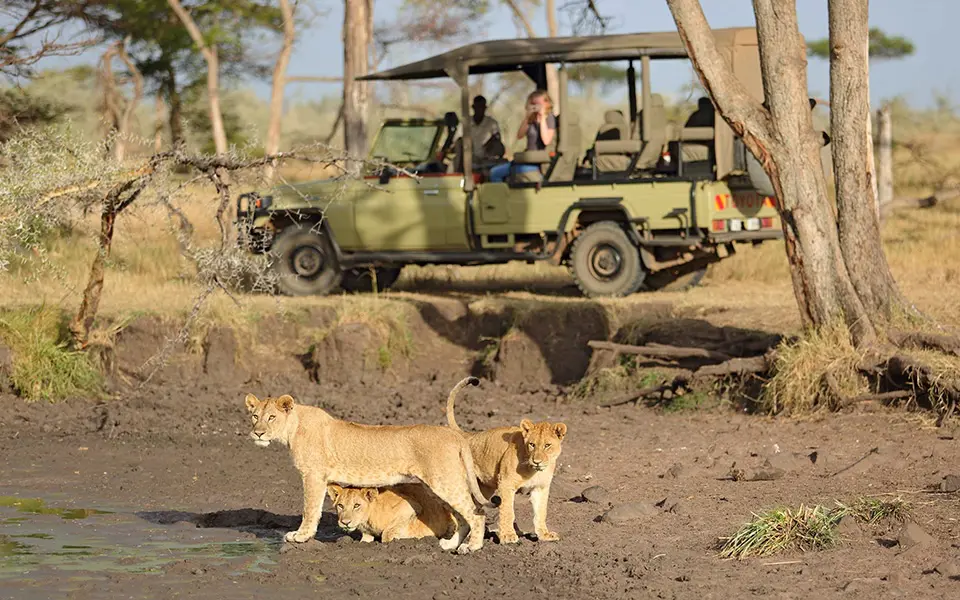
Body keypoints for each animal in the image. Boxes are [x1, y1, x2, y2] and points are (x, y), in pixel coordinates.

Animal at [327, 483, 457, 544]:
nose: (345, 522)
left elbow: (387, 532)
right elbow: (365, 539)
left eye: (356, 505)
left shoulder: (411, 505)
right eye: (340, 505)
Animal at [444, 376, 568, 544]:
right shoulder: (506, 484)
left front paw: (544, 535)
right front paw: (507, 536)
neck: (534, 470)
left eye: (547, 445)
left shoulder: (540, 488)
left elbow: (541, 513)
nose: (537, 461)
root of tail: (467, 435)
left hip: (483, 488)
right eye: (532, 444)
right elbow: (508, 511)